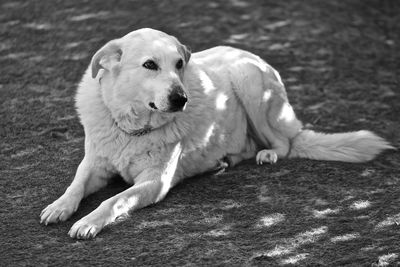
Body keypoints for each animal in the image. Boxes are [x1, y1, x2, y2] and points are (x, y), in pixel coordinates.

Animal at [39, 28, 394, 240]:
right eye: (150, 64)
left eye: (179, 64)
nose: (181, 99)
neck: (132, 126)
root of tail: (249, 54)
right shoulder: (95, 164)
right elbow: (75, 184)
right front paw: (59, 207)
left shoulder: (155, 183)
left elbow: (113, 200)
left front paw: (88, 221)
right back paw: (223, 161)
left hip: (248, 79)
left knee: (285, 143)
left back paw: (268, 153)